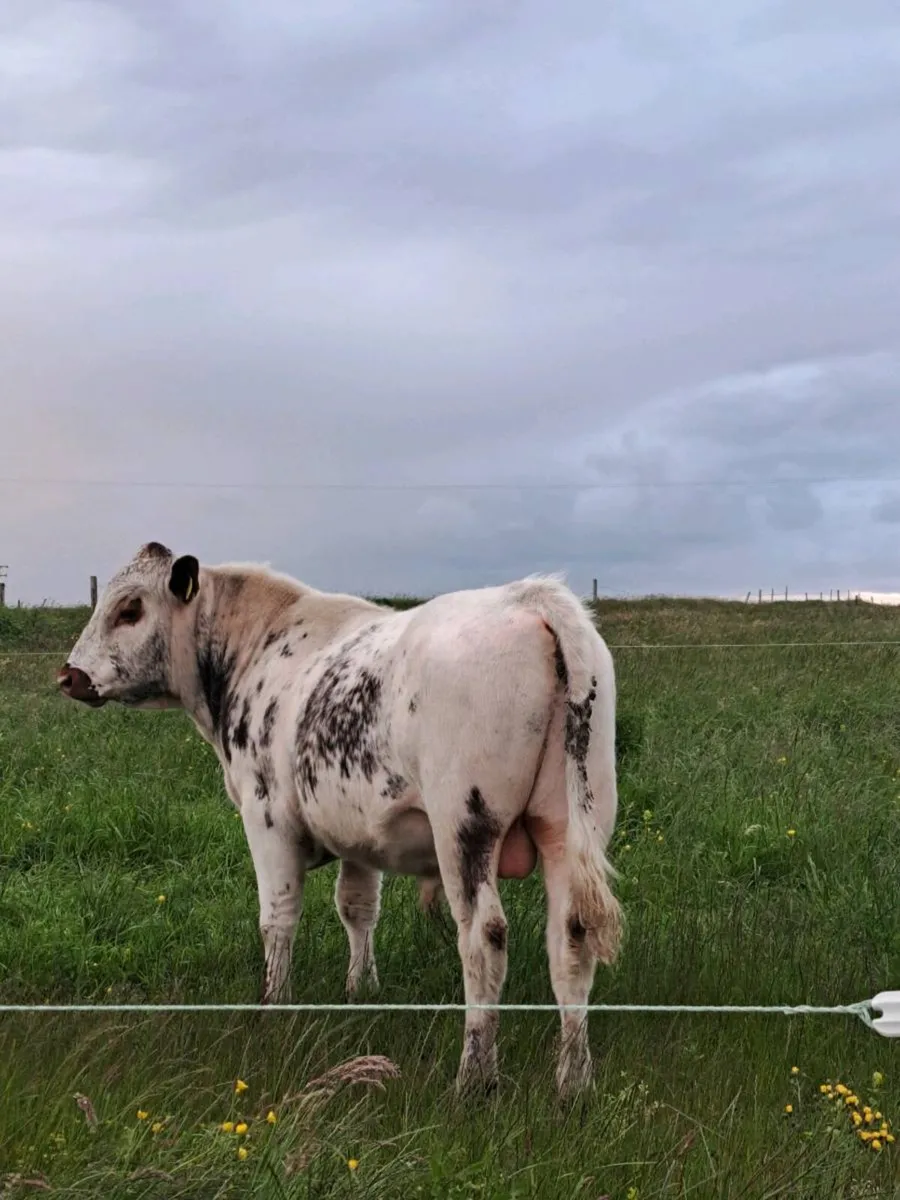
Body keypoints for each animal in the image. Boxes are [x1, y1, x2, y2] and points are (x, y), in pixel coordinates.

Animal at [58, 542, 622, 1098]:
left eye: (130, 609)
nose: (69, 676)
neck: (256, 650)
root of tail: (528, 598)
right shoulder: (360, 832)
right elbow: (357, 908)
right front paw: (361, 989)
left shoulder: (267, 818)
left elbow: (277, 917)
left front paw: (275, 1004)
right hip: (568, 824)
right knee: (571, 939)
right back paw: (574, 1081)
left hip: (466, 825)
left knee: (484, 938)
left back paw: (475, 1078)